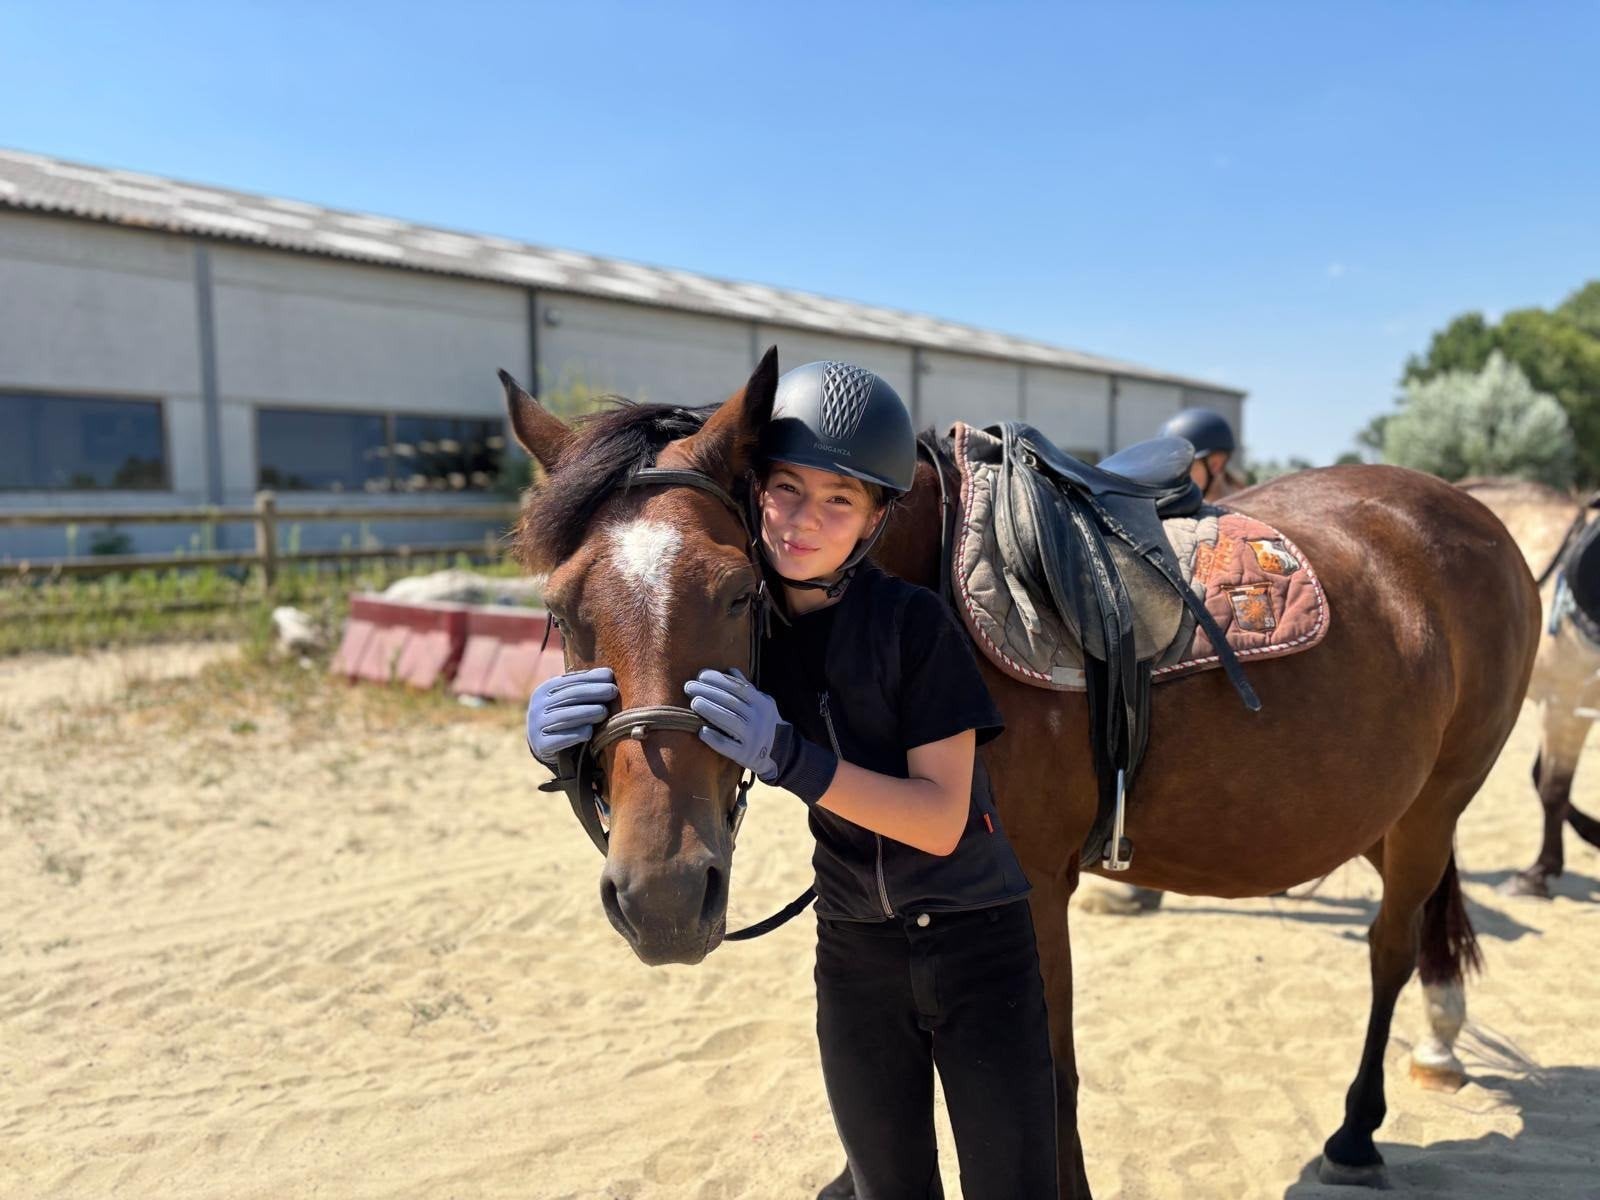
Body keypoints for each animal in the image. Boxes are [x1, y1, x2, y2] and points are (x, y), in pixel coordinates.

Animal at [503, 350, 1541, 1197]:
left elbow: (1050, 1084)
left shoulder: (1033, 889)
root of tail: (1472, 516)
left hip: (1433, 806)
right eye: (562, 607)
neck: (913, 580)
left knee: (1390, 946)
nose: (666, 896)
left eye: (735, 590)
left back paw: (1357, 1135)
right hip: (1382, 811)